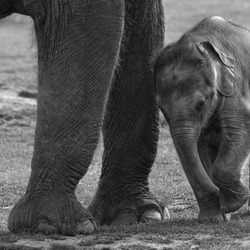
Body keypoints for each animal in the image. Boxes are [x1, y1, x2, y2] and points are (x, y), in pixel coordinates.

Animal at [154, 16, 250, 222]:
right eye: (162, 109)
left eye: (200, 104)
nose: (216, 191)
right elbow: (193, 150)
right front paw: (212, 218)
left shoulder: (236, 88)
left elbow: (240, 129)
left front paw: (233, 204)